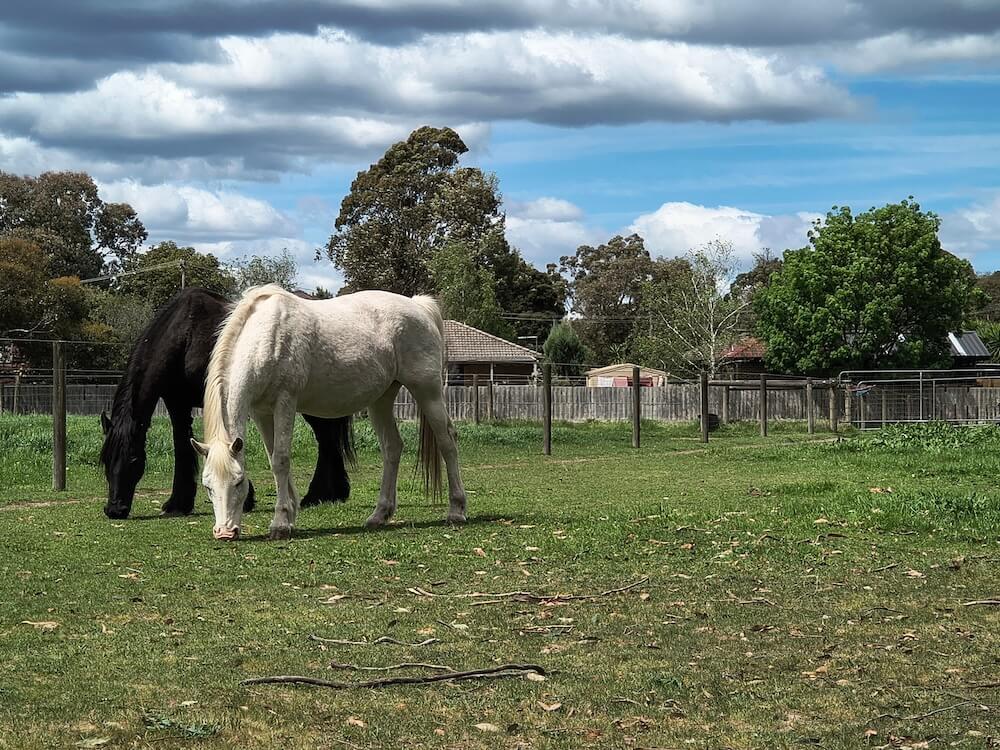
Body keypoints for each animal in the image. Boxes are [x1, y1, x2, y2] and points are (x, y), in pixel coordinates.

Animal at [100, 287, 355, 520]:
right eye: (105, 459)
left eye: (134, 459)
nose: (115, 509)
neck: (186, 335)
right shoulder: (177, 402)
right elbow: (182, 445)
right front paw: (178, 503)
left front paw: (245, 497)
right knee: (327, 438)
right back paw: (332, 493)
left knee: (326, 438)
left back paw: (319, 494)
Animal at [192, 284, 466, 541]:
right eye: (207, 486)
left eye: (239, 481)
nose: (224, 532)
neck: (266, 336)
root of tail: (418, 306)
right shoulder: (261, 412)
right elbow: (273, 458)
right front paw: (290, 515)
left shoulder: (285, 402)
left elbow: (281, 460)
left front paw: (280, 524)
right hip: (381, 400)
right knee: (392, 447)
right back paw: (379, 515)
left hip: (427, 391)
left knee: (447, 442)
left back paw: (456, 510)